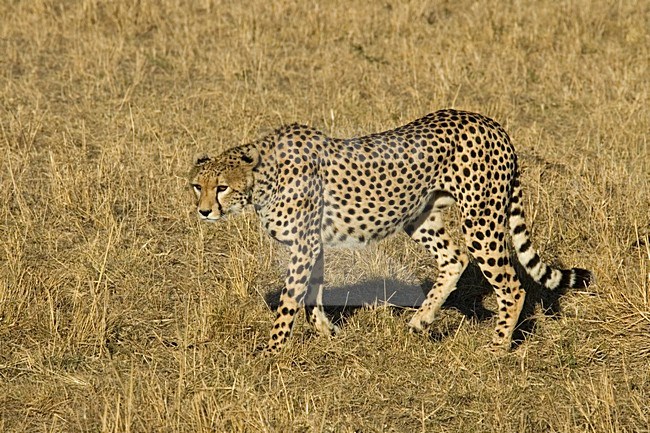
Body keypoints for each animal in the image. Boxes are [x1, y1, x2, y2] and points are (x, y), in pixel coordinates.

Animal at [189, 109, 592, 354]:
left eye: (221, 187)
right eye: (197, 186)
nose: (204, 211)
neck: (263, 178)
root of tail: (489, 121)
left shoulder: (303, 245)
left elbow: (290, 299)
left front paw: (272, 351)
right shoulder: (313, 244)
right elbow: (311, 294)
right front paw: (326, 333)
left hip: (481, 218)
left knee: (511, 285)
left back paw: (496, 348)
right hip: (420, 217)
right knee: (454, 259)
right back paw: (420, 320)